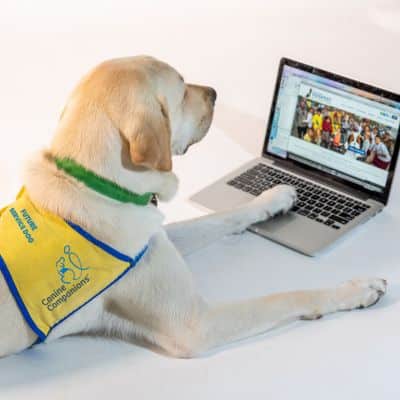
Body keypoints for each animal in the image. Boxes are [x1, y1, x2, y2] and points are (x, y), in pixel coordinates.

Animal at [0, 55, 388, 356]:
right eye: (182, 87)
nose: (215, 92)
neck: (97, 183)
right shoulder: (196, 325)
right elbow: (288, 296)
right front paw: (356, 289)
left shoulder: (158, 236)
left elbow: (223, 217)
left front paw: (275, 198)